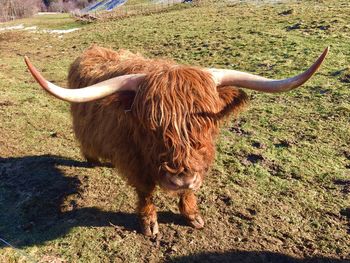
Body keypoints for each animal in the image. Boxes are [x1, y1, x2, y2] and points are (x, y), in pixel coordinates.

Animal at [24, 46, 328, 237]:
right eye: (151, 126)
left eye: (207, 122)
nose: (180, 178)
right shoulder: (135, 164)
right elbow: (145, 193)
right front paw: (149, 224)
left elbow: (189, 193)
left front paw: (192, 215)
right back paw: (92, 159)